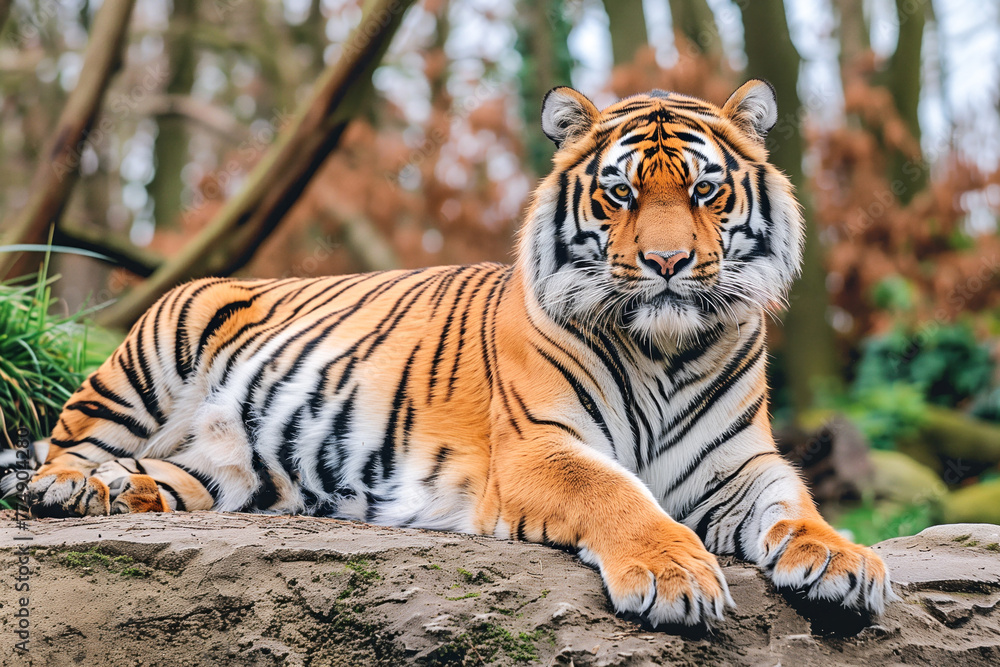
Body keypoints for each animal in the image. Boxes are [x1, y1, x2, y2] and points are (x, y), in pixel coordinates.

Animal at [9, 80, 893, 627]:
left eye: (706, 191)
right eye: (620, 194)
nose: (668, 263)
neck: (666, 348)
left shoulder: (739, 465)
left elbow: (795, 501)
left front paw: (842, 559)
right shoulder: (538, 448)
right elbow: (619, 493)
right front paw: (673, 574)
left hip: (232, 471)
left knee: (160, 476)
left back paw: (117, 492)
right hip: (157, 344)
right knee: (63, 445)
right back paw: (70, 488)